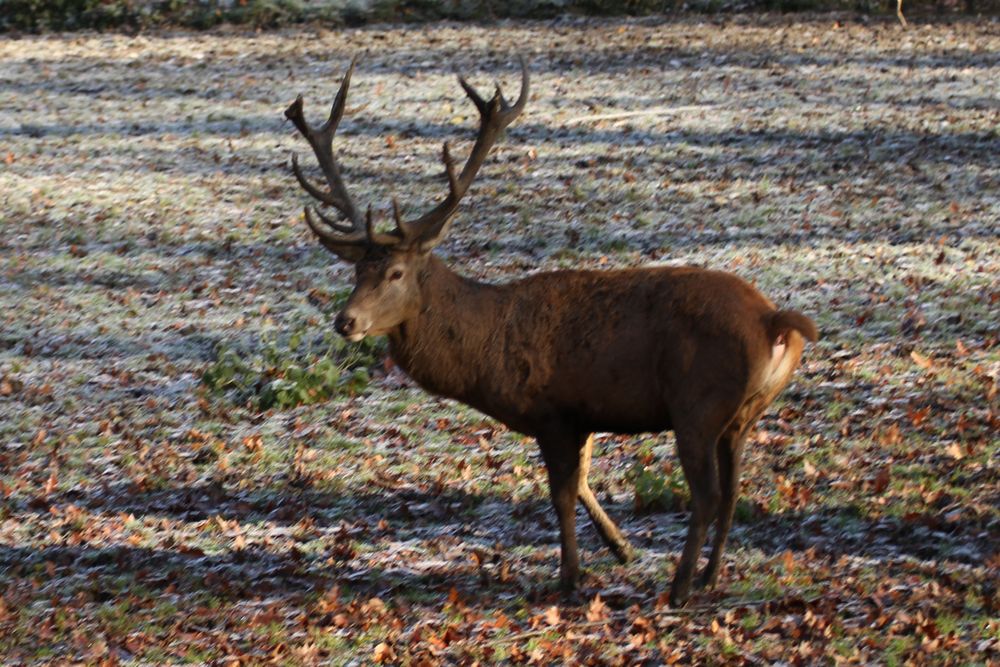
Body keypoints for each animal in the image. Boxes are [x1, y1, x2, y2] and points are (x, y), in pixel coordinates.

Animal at [280, 58, 812, 612]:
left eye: (395, 273)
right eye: (356, 270)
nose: (346, 321)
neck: (489, 351)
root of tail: (774, 321)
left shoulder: (553, 411)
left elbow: (561, 494)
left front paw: (571, 576)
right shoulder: (583, 415)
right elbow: (582, 483)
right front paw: (619, 548)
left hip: (697, 404)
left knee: (706, 495)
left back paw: (680, 585)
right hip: (742, 414)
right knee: (732, 491)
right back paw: (708, 577)